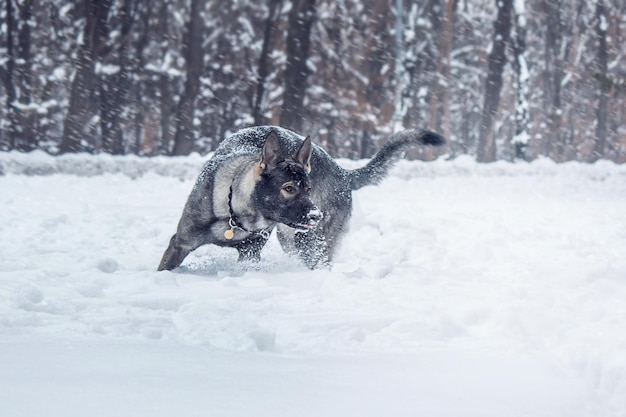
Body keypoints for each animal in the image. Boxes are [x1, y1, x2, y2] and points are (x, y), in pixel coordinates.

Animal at [158, 125, 442, 270]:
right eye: (289, 188)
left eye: (308, 188)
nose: (317, 215)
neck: (236, 216)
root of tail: (343, 173)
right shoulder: (180, 244)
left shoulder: (250, 254)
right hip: (293, 240)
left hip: (309, 244)